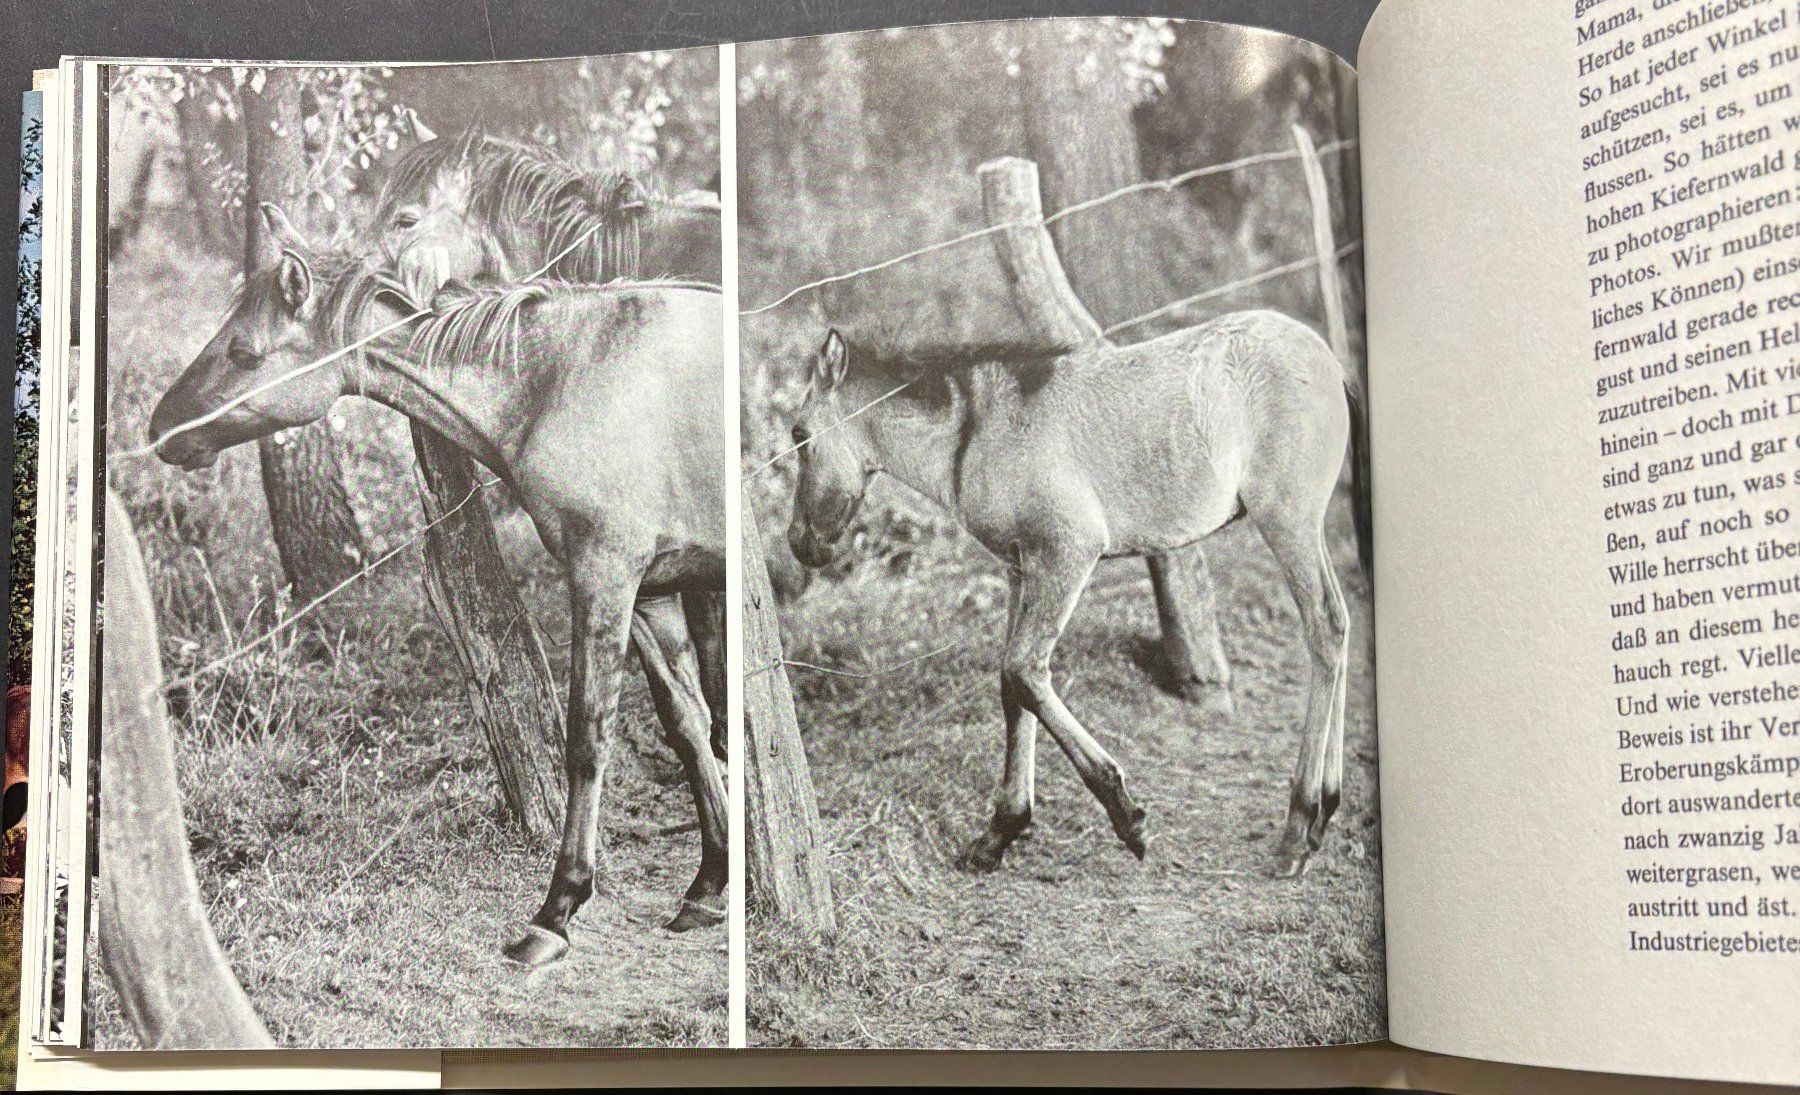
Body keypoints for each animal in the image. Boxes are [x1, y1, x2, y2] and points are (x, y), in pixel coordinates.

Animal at [148, 207, 727, 966]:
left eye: (244, 352)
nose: (162, 428)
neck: (565, 377)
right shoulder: (651, 589)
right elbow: (690, 726)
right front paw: (711, 882)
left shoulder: (604, 577)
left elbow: (587, 739)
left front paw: (557, 908)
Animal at [784, 316, 1369, 877]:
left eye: (798, 433)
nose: (798, 544)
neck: (981, 428)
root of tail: (1328, 361)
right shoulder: (1022, 570)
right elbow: (1012, 688)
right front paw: (999, 833)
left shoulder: (1066, 555)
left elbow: (1024, 671)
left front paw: (1125, 815)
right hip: (1304, 529)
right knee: (1341, 627)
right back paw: (1323, 814)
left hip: (1286, 522)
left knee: (1324, 629)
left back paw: (1297, 827)